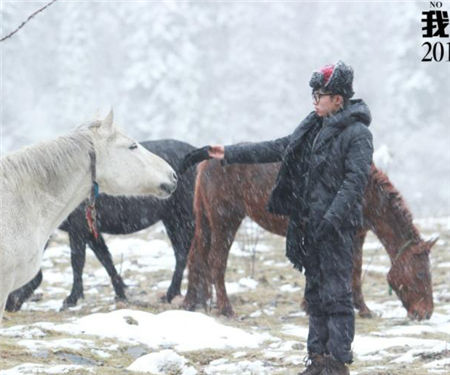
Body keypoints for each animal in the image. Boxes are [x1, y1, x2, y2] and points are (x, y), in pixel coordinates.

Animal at [182, 160, 436, 322]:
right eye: (421, 273)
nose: (426, 314)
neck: (365, 192)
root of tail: (207, 163)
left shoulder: (355, 236)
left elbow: (352, 270)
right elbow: (349, 271)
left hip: (207, 222)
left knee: (197, 258)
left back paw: (193, 303)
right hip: (225, 221)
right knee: (216, 262)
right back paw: (226, 310)